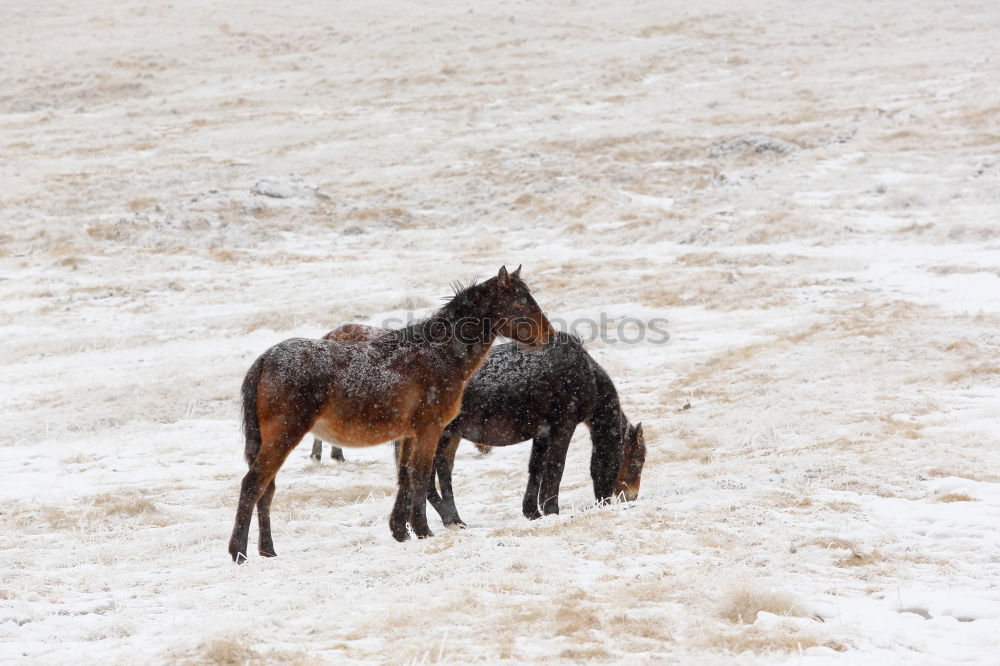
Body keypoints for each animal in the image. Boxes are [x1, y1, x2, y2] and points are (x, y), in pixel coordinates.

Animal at [227, 266, 556, 560]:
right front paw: (423, 531)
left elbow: (405, 478)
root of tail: (265, 360)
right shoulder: (429, 430)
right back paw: (239, 553)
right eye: (519, 302)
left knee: (267, 491)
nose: (550, 336)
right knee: (253, 485)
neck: (438, 355)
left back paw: (267, 551)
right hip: (283, 436)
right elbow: (421, 476)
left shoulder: (408, 435)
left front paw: (401, 531)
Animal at [324, 324, 644, 528]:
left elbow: (536, 469)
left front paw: (533, 512)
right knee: (432, 476)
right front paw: (552, 510)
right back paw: (450, 519)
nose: (625, 498)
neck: (583, 372)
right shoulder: (562, 426)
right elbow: (555, 468)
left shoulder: (542, 433)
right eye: (637, 461)